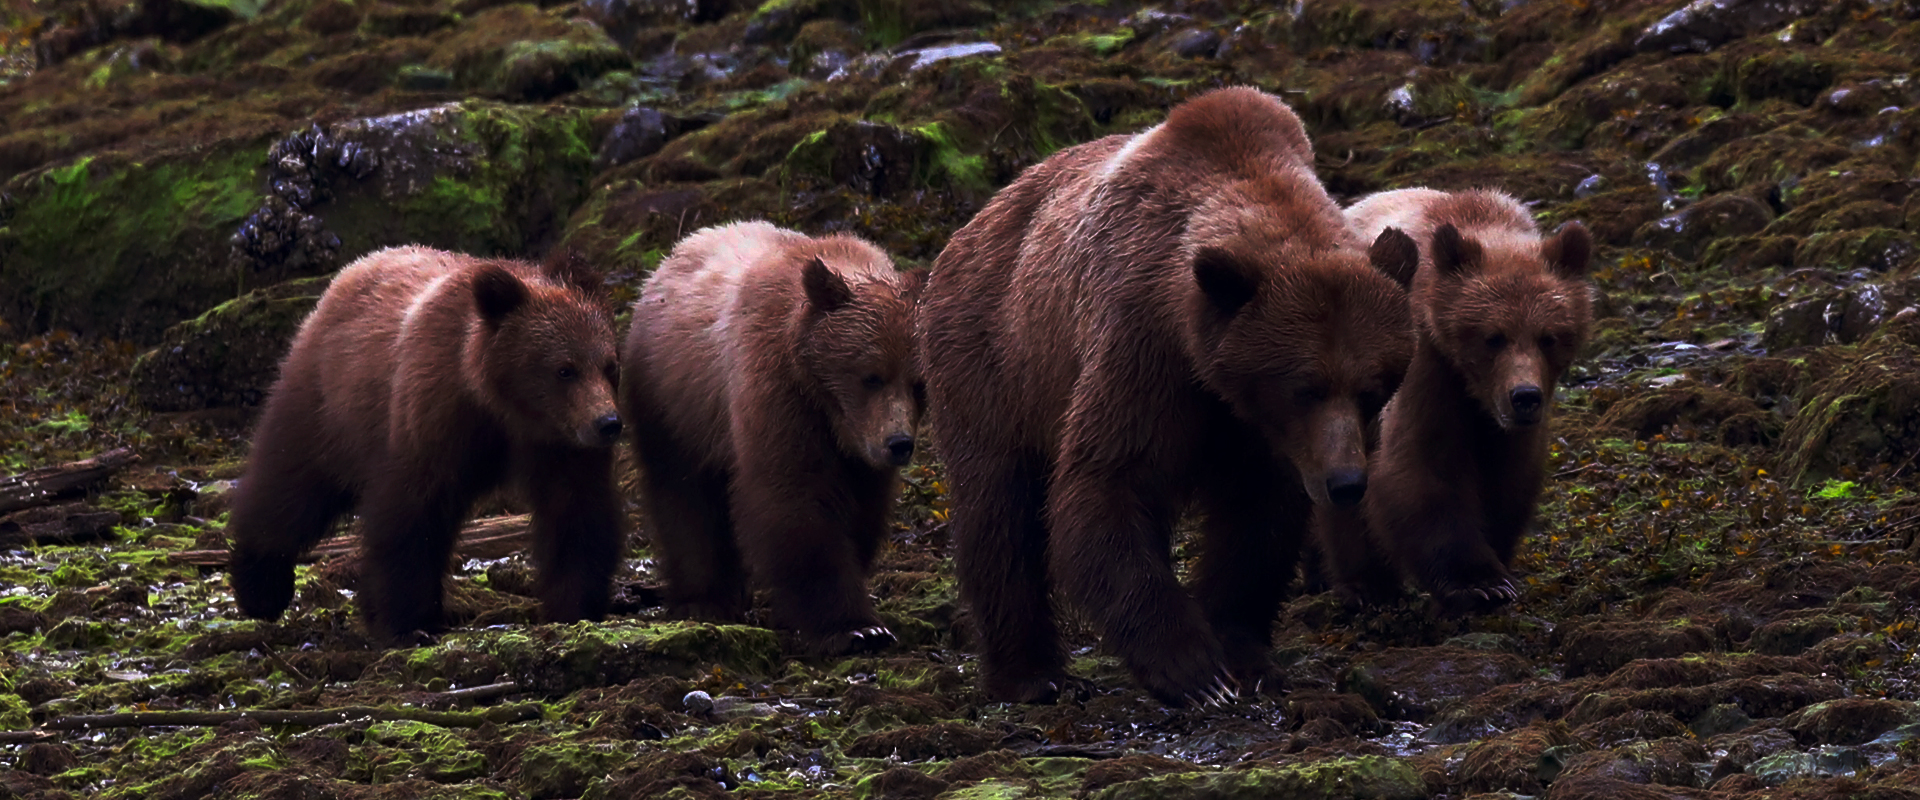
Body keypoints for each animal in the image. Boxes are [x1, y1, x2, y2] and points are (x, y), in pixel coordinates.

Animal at [226, 244, 622, 640]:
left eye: (609, 365)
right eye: (565, 369)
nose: (608, 423)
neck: (499, 404)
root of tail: (353, 268)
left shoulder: (559, 444)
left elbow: (575, 512)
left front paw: (576, 606)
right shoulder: (432, 418)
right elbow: (411, 516)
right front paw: (406, 621)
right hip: (326, 406)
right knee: (290, 487)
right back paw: (260, 587)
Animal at [625, 219, 925, 656]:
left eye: (918, 383)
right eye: (872, 376)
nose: (899, 443)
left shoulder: (859, 452)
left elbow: (862, 509)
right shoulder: (775, 387)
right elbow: (793, 497)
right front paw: (854, 628)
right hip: (676, 402)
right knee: (684, 495)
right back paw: (704, 597)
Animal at [913, 85, 1428, 705]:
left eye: (1372, 388)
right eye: (1305, 387)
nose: (1346, 482)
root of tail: (967, 229)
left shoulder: (1256, 429)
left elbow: (1257, 518)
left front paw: (1242, 654)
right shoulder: (1144, 349)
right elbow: (1109, 482)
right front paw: (1195, 670)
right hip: (995, 360)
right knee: (999, 514)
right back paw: (1031, 674)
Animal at [1320, 187, 1605, 610]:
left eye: (1549, 337)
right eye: (1493, 337)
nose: (1525, 396)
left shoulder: (1505, 427)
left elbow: (1507, 477)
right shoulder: (1429, 365)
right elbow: (1422, 465)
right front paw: (1478, 583)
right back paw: (1364, 583)